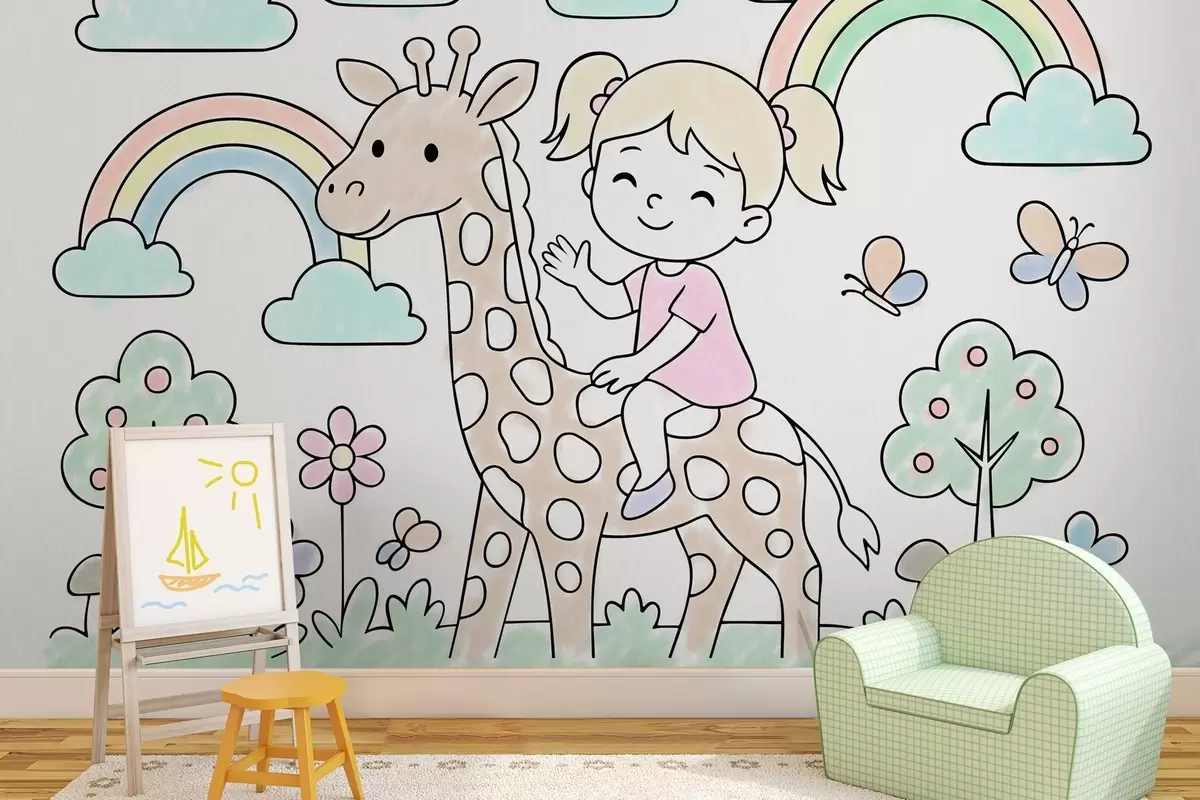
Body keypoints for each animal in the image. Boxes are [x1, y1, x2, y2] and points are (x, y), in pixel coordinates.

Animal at [316, 27, 881, 664]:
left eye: (431, 152)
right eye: (371, 135)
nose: (335, 197)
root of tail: (793, 433)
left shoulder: (569, 523)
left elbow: (571, 641)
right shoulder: (501, 518)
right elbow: (473, 626)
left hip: (764, 512)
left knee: (799, 573)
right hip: (702, 516)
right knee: (715, 571)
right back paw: (684, 666)